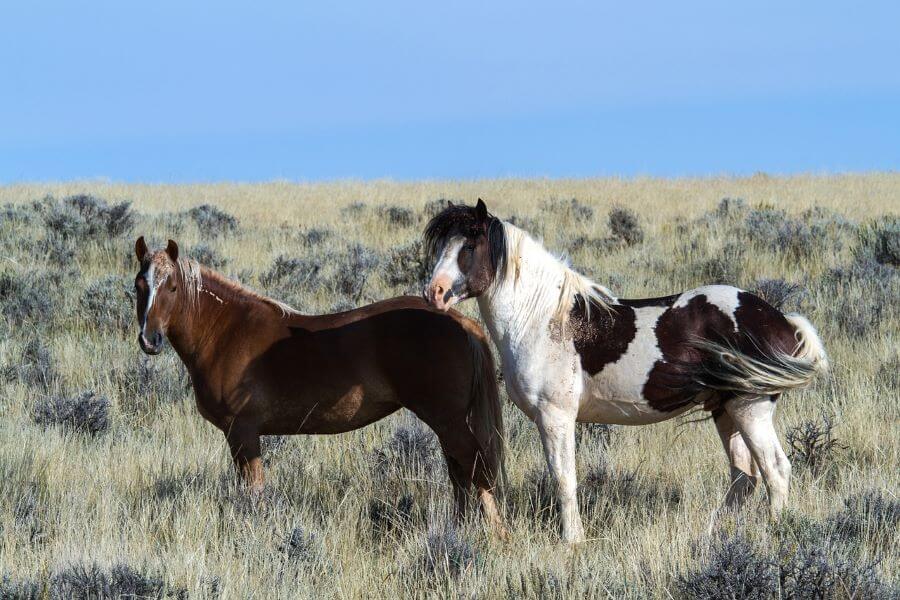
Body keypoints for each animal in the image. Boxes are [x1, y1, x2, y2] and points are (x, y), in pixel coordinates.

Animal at [422, 200, 828, 544]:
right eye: (441, 248)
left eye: (468, 247)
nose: (434, 293)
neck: (541, 317)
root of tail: (779, 319)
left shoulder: (555, 417)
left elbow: (564, 479)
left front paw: (573, 541)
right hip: (726, 410)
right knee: (744, 476)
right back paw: (714, 533)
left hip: (749, 407)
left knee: (775, 470)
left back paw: (775, 531)